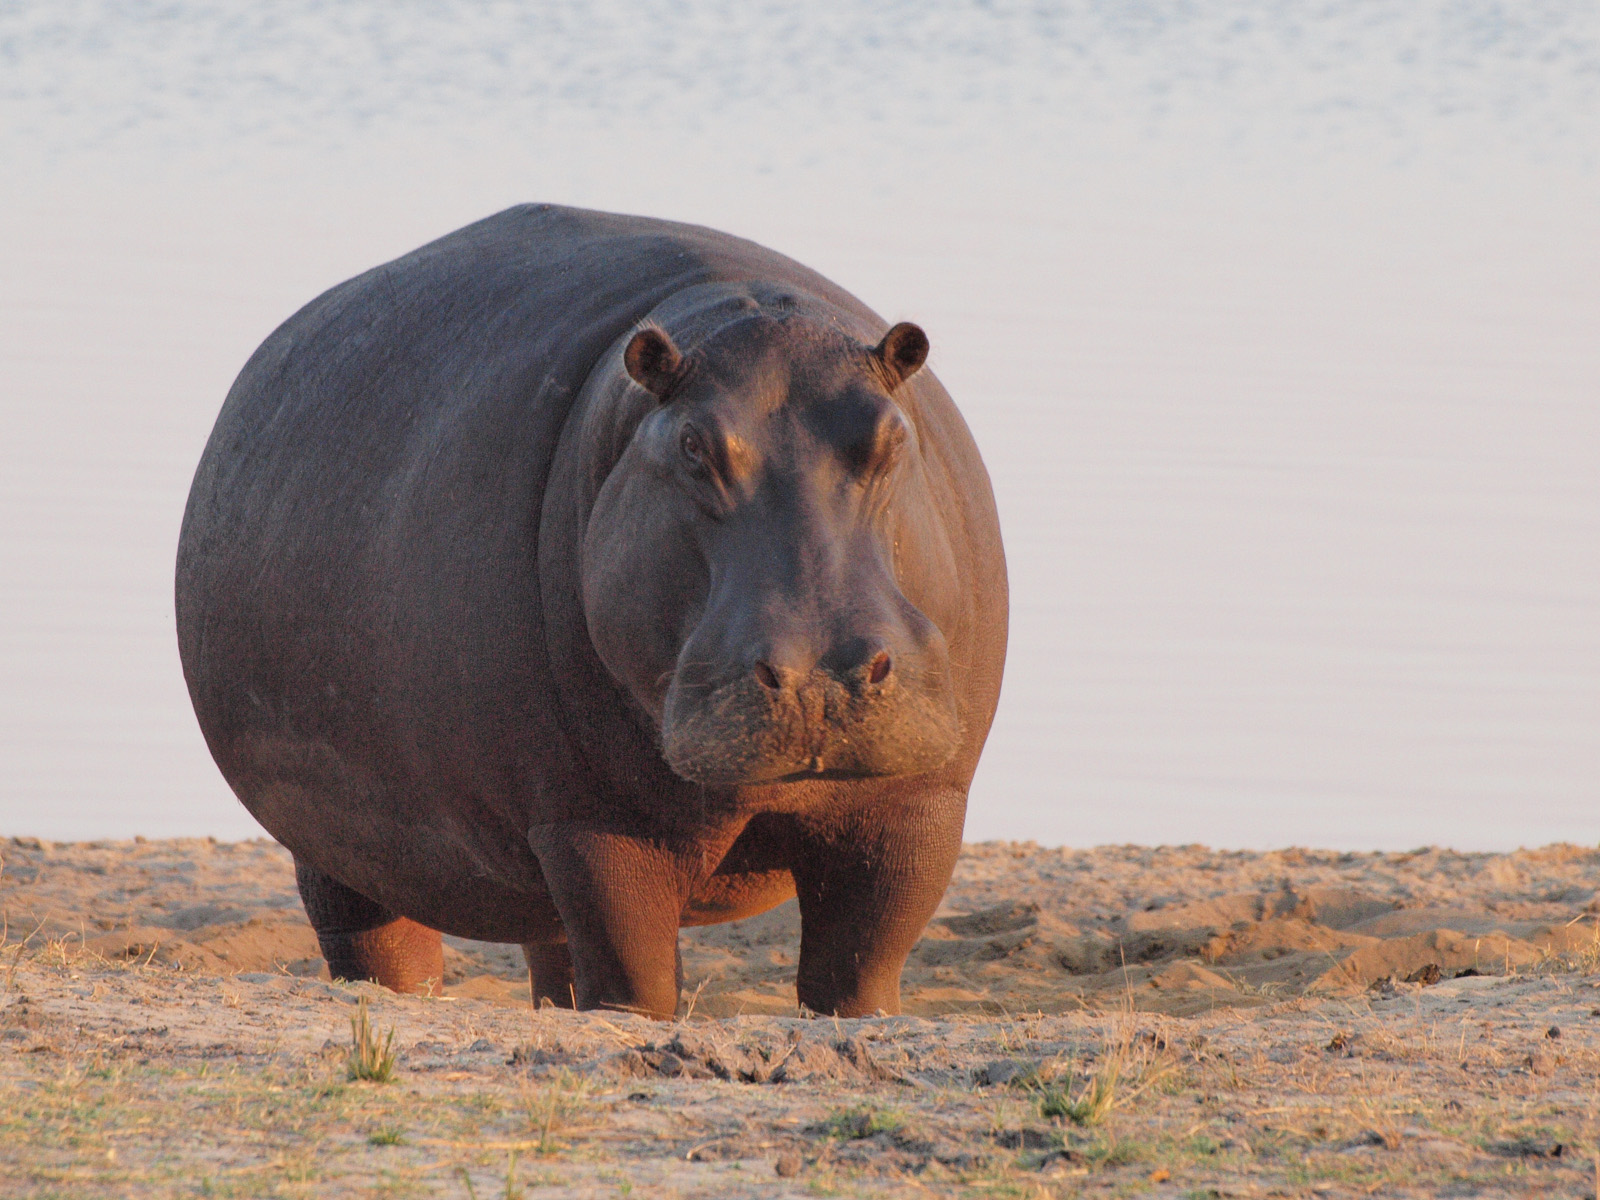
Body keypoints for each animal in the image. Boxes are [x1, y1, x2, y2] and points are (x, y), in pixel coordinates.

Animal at [175, 204, 1007, 1018]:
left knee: (553, 956)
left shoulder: (918, 807)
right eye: (693, 446)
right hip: (338, 846)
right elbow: (635, 979)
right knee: (381, 944)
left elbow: (861, 974)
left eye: (892, 435)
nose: (820, 678)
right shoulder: (593, 824)